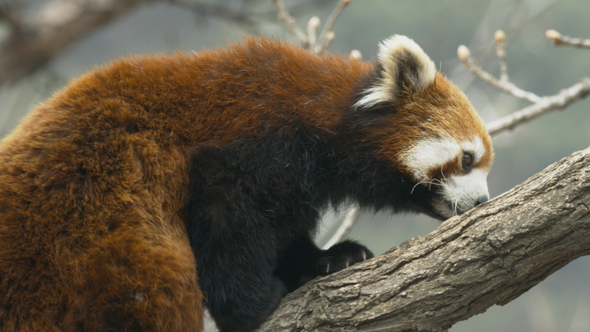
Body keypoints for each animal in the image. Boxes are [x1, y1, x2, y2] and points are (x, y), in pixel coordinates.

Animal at [0, 35, 492, 330]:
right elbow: (229, 223)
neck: (323, 118)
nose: (482, 202)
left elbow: (285, 232)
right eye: (467, 159)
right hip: (92, 219)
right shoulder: (250, 144)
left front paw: (329, 259)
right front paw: (254, 306)